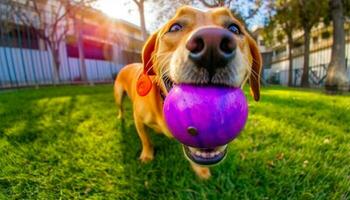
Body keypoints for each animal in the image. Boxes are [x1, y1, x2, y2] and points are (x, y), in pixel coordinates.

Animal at [113, 6, 262, 179]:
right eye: (175, 27)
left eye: (234, 28)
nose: (212, 44)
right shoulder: (138, 119)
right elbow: (145, 140)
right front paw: (147, 155)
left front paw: (200, 170)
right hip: (118, 95)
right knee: (120, 107)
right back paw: (121, 117)